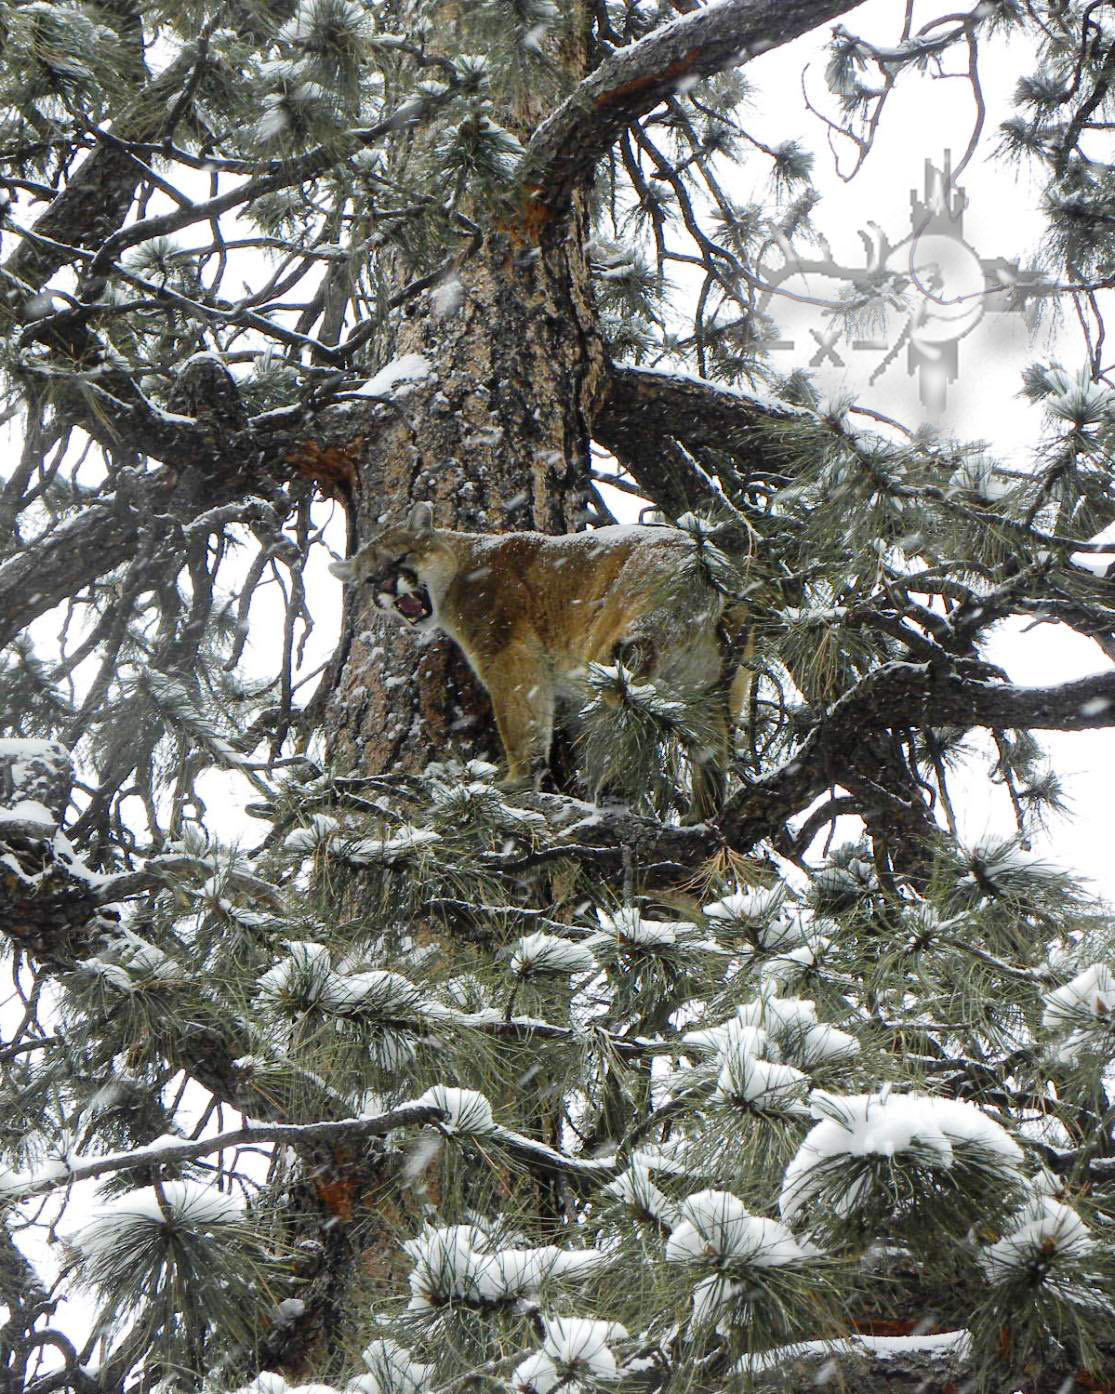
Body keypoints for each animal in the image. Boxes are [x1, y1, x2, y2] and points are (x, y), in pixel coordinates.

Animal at [330, 503, 751, 819]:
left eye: (401, 557)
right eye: (369, 579)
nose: (386, 587)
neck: (461, 567)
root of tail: (706, 566)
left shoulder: (507, 652)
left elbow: (521, 721)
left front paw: (517, 779)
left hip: (614, 648)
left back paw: (612, 799)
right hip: (712, 684)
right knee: (711, 747)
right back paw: (702, 817)